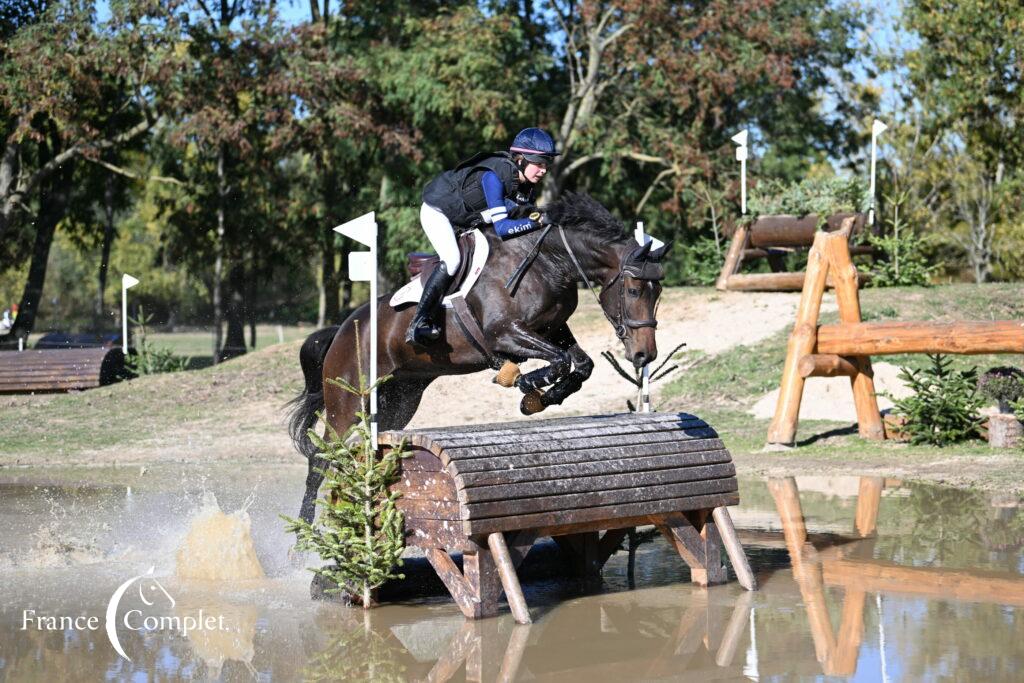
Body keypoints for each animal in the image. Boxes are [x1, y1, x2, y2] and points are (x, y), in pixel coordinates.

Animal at [288, 192, 671, 524]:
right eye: (633, 290)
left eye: (658, 293)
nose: (644, 354)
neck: (550, 259)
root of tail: (342, 330)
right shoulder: (504, 334)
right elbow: (559, 360)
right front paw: (524, 382)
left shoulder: (552, 328)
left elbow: (580, 364)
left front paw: (542, 396)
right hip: (348, 401)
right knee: (321, 460)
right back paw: (303, 536)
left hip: (399, 398)